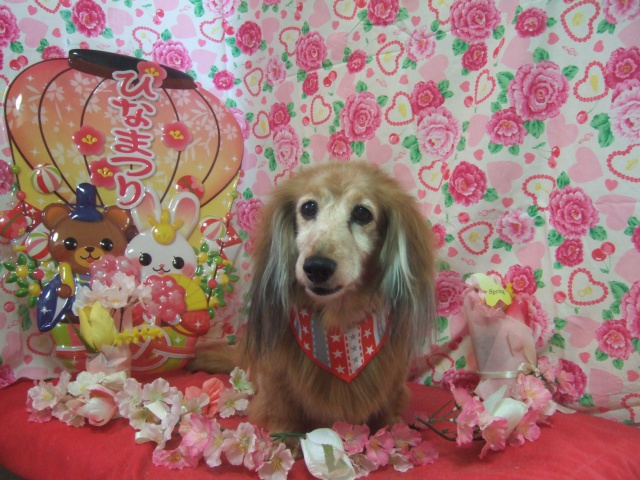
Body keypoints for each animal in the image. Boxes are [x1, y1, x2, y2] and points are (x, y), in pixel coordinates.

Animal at [192, 161, 436, 434]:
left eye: (362, 213)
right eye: (308, 207)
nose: (317, 267)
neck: (336, 327)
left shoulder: (393, 382)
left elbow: (388, 414)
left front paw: (393, 431)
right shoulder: (275, 380)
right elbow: (282, 413)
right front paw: (286, 436)